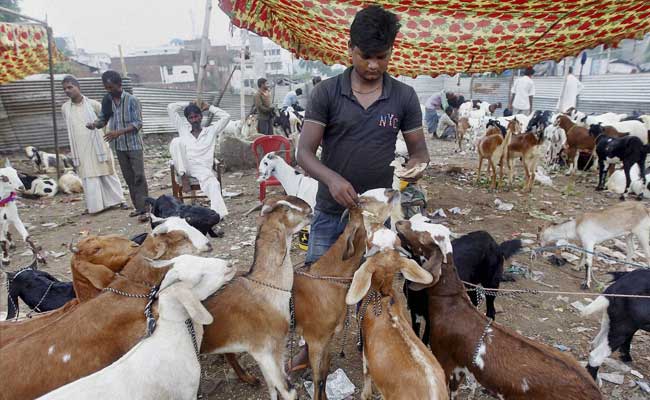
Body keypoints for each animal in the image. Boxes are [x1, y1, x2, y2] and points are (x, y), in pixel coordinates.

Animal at [200, 196, 312, 400]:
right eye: (286, 209)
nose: (310, 209)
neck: (264, 289)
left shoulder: (272, 350)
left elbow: (272, 386)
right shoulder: (264, 350)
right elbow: (287, 390)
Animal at [344, 227, 446, 398]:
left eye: (368, 241)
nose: (380, 226)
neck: (382, 296)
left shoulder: (366, 349)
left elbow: (366, 372)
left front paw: (365, 394)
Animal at [394, 219, 604, 400]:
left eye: (422, 235)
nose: (399, 222)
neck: (452, 302)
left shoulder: (446, 360)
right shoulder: (459, 367)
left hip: (492, 283)